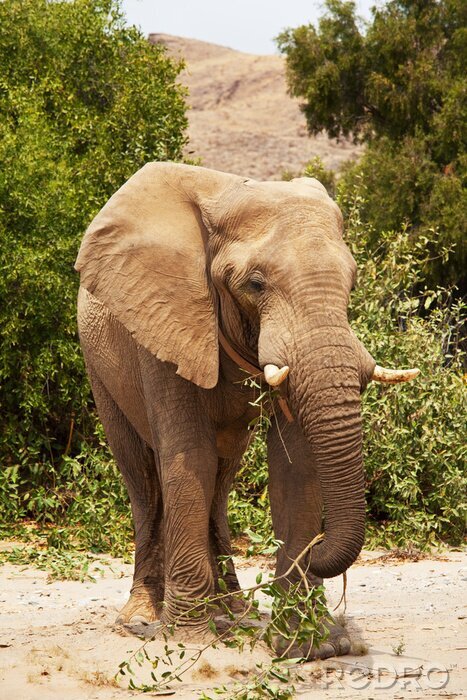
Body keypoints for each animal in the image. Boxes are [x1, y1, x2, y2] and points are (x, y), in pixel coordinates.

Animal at [75, 162, 419, 660]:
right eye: (255, 284)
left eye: (352, 282)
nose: (318, 550)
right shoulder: (167, 318)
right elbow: (189, 460)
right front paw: (190, 639)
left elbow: (294, 467)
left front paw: (309, 646)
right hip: (99, 365)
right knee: (143, 478)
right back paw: (142, 617)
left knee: (222, 479)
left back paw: (234, 612)